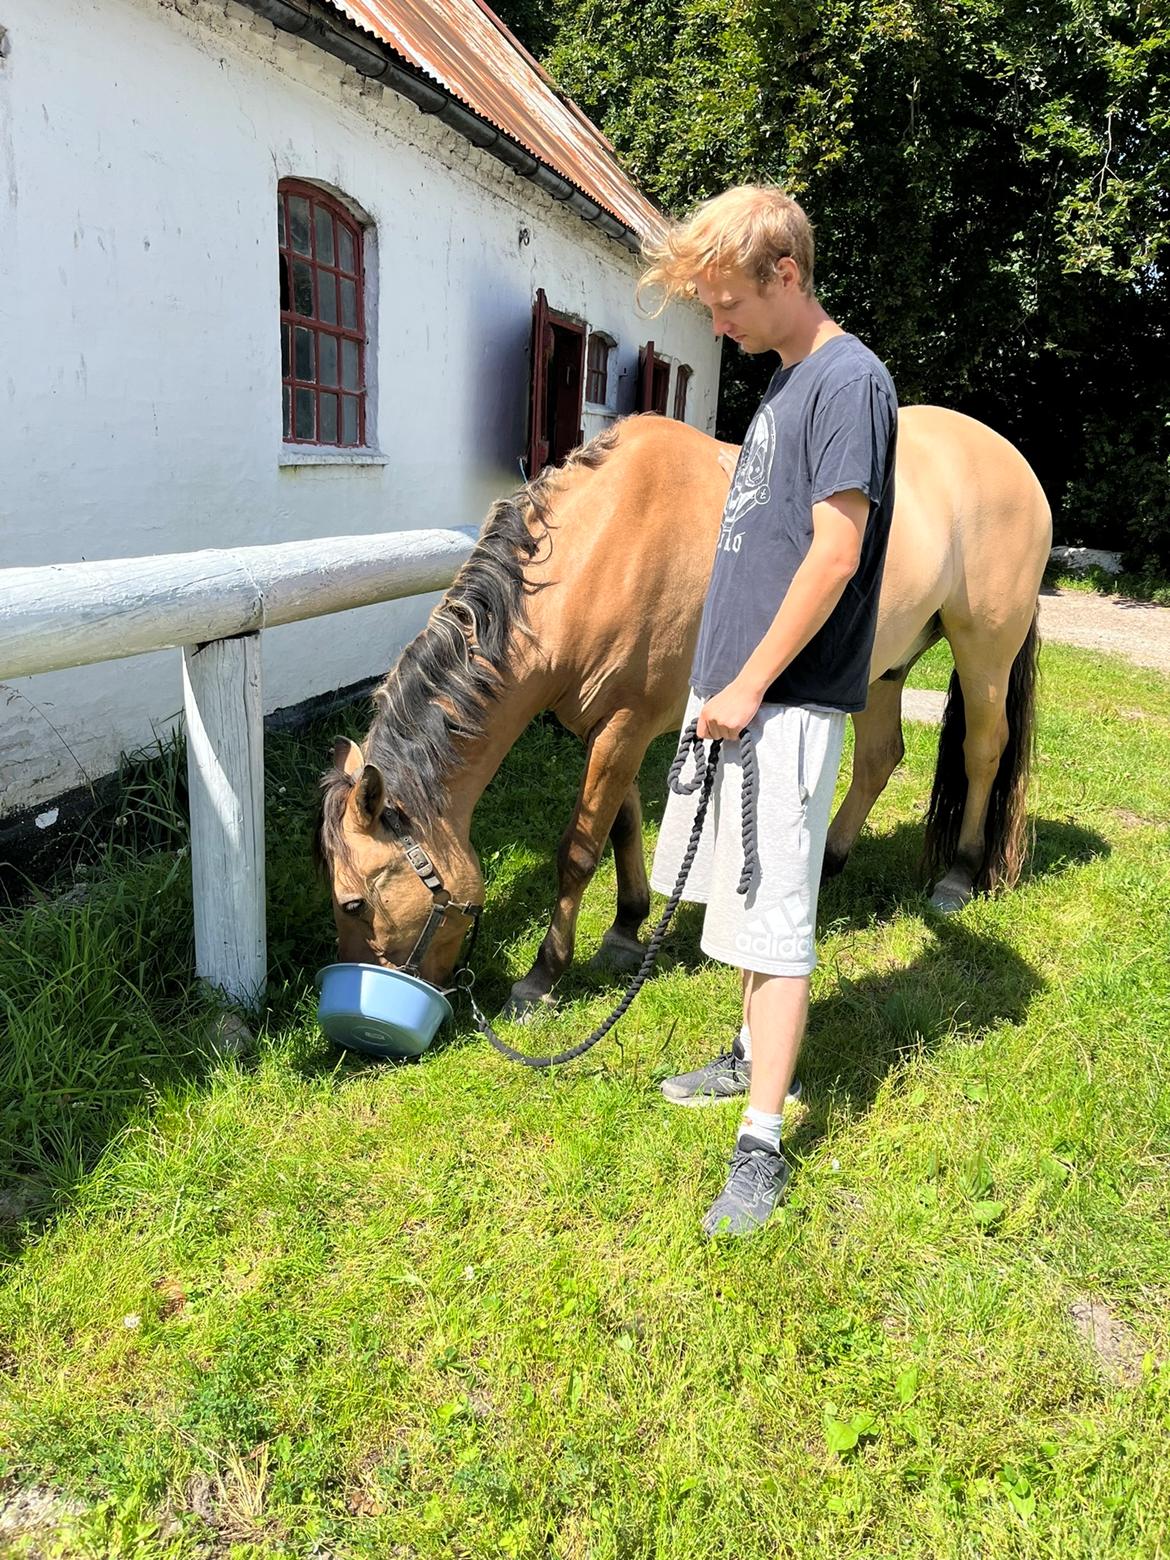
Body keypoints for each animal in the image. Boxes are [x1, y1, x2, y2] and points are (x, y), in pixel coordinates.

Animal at [313, 414, 1054, 1017]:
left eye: (352, 902)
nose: (358, 1022)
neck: (603, 546)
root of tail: (1012, 459)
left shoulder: (624, 726)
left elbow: (577, 851)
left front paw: (543, 979)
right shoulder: (616, 729)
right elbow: (620, 830)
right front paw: (625, 929)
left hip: (985, 650)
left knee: (984, 751)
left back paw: (960, 874)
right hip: (881, 669)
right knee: (880, 758)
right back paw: (832, 861)